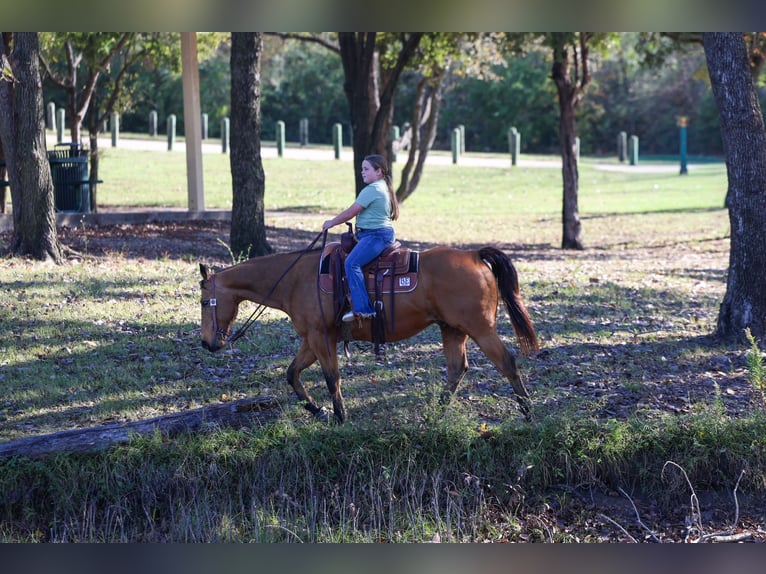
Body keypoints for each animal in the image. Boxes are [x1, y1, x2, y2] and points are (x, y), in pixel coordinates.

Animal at [199, 241, 539, 424]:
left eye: (203, 301)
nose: (206, 344)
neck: (295, 279)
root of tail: (474, 255)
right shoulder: (312, 338)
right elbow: (292, 374)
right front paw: (319, 411)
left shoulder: (321, 337)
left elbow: (331, 377)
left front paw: (340, 418)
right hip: (452, 329)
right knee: (457, 369)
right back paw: (433, 416)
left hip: (480, 327)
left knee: (506, 362)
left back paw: (528, 414)